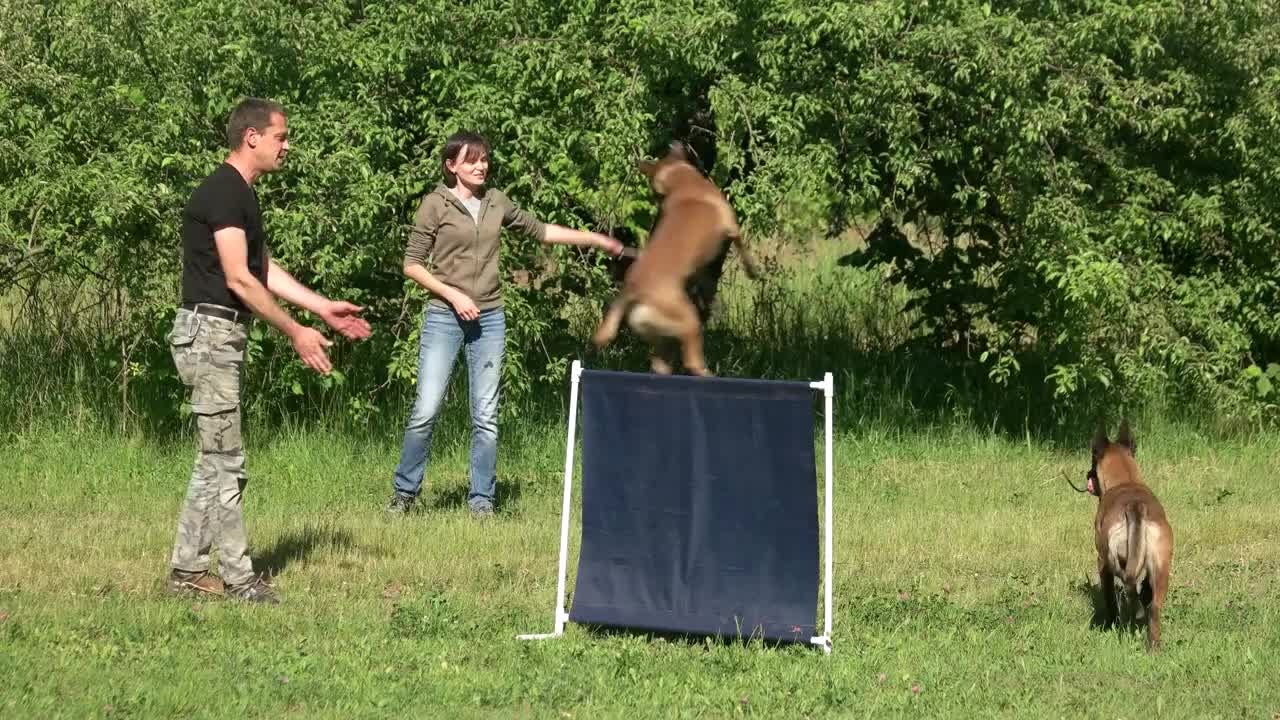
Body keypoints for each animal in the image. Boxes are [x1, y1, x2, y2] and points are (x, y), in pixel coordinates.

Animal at [591, 141, 757, 376]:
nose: (657, 201)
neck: (681, 179)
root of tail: (632, 292)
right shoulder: (732, 226)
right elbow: (744, 250)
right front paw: (753, 271)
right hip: (688, 322)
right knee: (692, 361)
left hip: (658, 333)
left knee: (659, 363)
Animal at [1080, 417, 1172, 648]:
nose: (1087, 474)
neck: (1126, 480)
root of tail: (1135, 507)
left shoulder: (1102, 562)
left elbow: (1110, 598)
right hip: (1162, 566)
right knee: (1153, 607)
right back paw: (1153, 645)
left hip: (1109, 558)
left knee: (1127, 586)